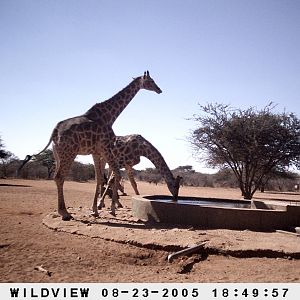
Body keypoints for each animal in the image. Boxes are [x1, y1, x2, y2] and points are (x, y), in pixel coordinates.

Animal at [18, 71, 162, 219]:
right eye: (151, 81)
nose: (159, 90)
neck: (109, 116)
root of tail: (54, 132)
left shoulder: (96, 152)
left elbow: (99, 179)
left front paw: (96, 210)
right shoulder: (105, 148)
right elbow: (114, 176)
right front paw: (111, 209)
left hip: (57, 154)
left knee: (56, 177)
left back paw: (63, 211)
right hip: (69, 153)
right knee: (59, 177)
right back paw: (65, 213)